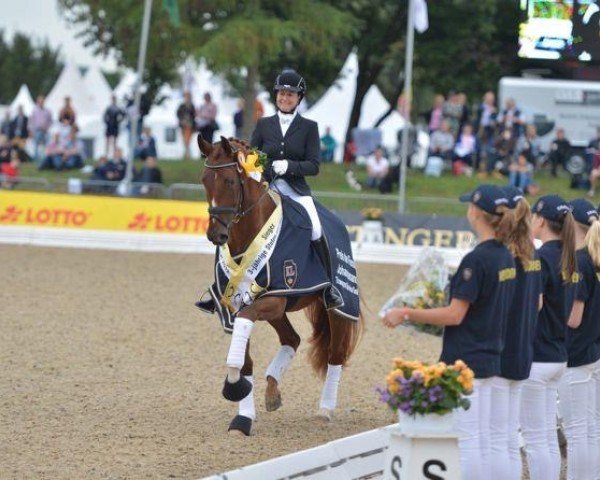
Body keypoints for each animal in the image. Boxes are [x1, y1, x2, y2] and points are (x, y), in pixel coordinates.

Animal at [199, 134, 364, 436]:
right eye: (205, 180)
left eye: (229, 181)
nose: (216, 234)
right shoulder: (236, 304)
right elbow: (245, 359)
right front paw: (243, 417)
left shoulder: (275, 297)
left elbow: (242, 338)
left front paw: (234, 387)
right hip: (278, 311)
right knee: (292, 339)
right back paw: (272, 391)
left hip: (339, 307)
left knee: (335, 355)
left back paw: (324, 410)